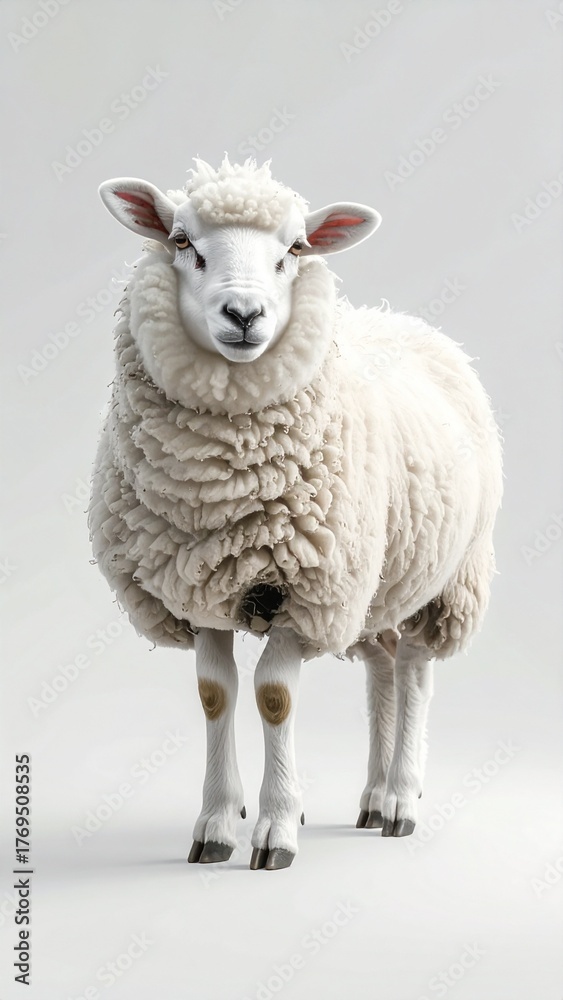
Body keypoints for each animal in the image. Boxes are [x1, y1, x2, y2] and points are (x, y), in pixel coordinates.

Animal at [89, 156, 503, 870]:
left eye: (296, 249)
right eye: (182, 242)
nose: (244, 313)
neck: (219, 489)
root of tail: (407, 323)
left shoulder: (307, 589)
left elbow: (274, 697)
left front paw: (276, 828)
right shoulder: (199, 587)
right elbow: (216, 694)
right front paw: (217, 823)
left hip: (442, 578)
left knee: (415, 671)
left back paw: (401, 799)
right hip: (375, 587)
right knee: (382, 670)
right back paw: (371, 798)